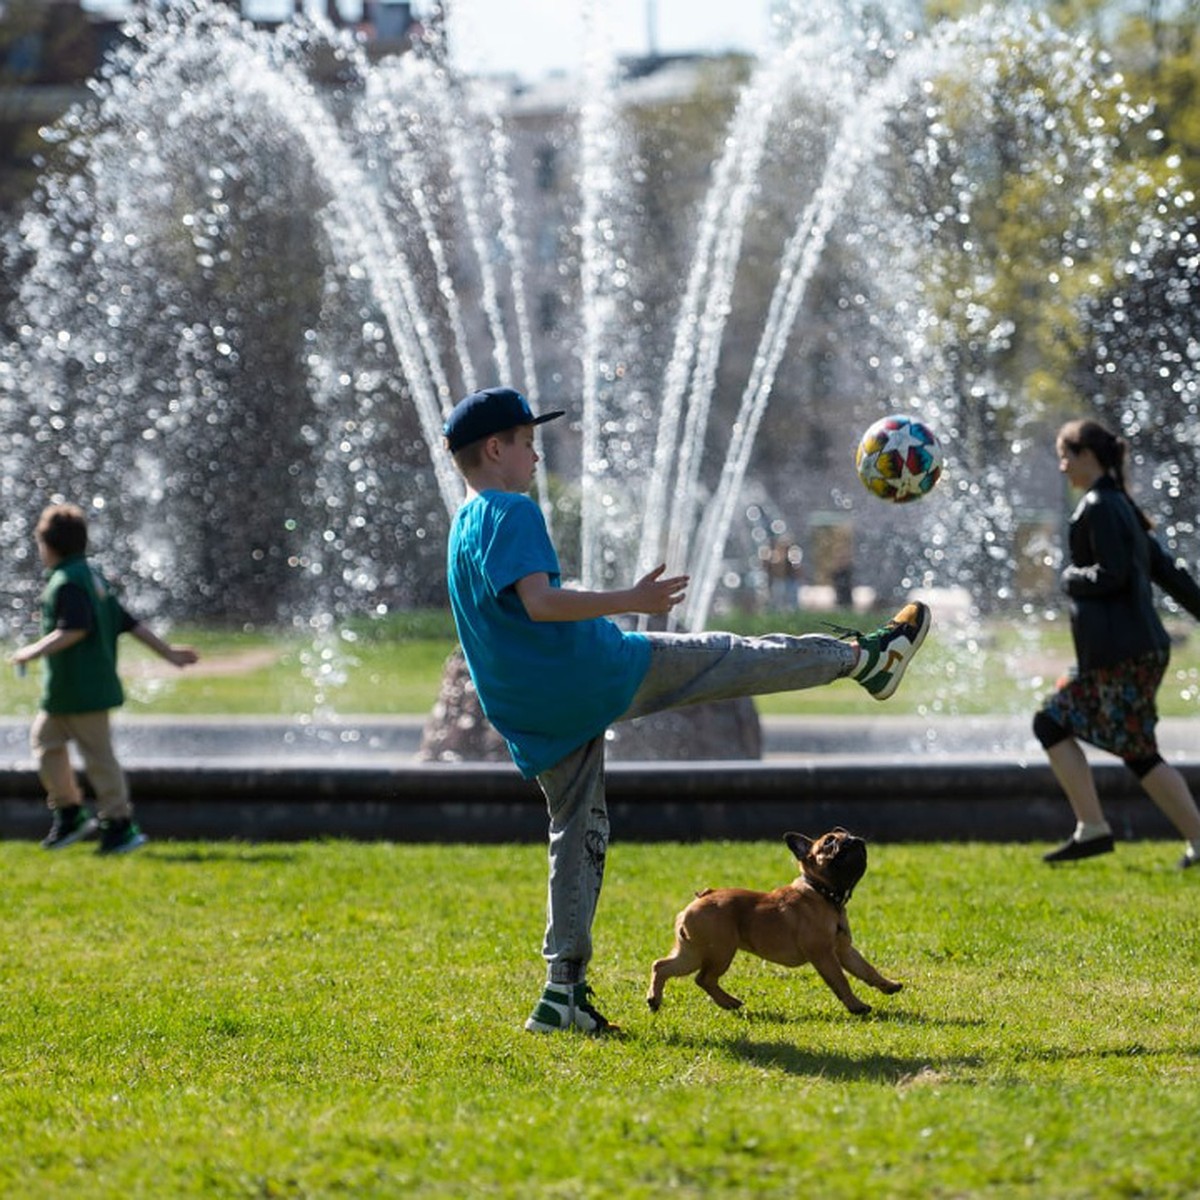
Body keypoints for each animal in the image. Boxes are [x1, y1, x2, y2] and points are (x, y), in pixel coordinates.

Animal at [648, 825, 902, 1012]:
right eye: (829, 843)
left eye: (848, 835)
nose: (853, 839)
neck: (823, 893)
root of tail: (699, 899)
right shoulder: (823, 954)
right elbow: (841, 981)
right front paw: (856, 1006)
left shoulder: (844, 950)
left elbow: (866, 970)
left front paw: (888, 985)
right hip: (720, 951)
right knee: (704, 978)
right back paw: (728, 1002)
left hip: (693, 952)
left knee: (663, 966)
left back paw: (656, 999)